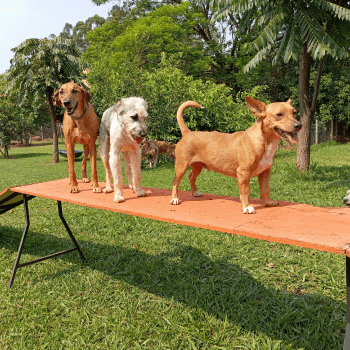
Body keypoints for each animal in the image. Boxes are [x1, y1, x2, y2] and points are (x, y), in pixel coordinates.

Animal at [171, 98, 302, 213]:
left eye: (294, 112)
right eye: (279, 114)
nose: (299, 125)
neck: (263, 141)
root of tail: (188, 132)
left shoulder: (265, 172)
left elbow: (265, 189)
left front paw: (268, 202)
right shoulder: (243, 173)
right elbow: (246, 192)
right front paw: (247, 207)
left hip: (197, 166)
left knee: (191, 177)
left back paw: (195, 192)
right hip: (181, 167)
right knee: (175, 181)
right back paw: (174, 198)